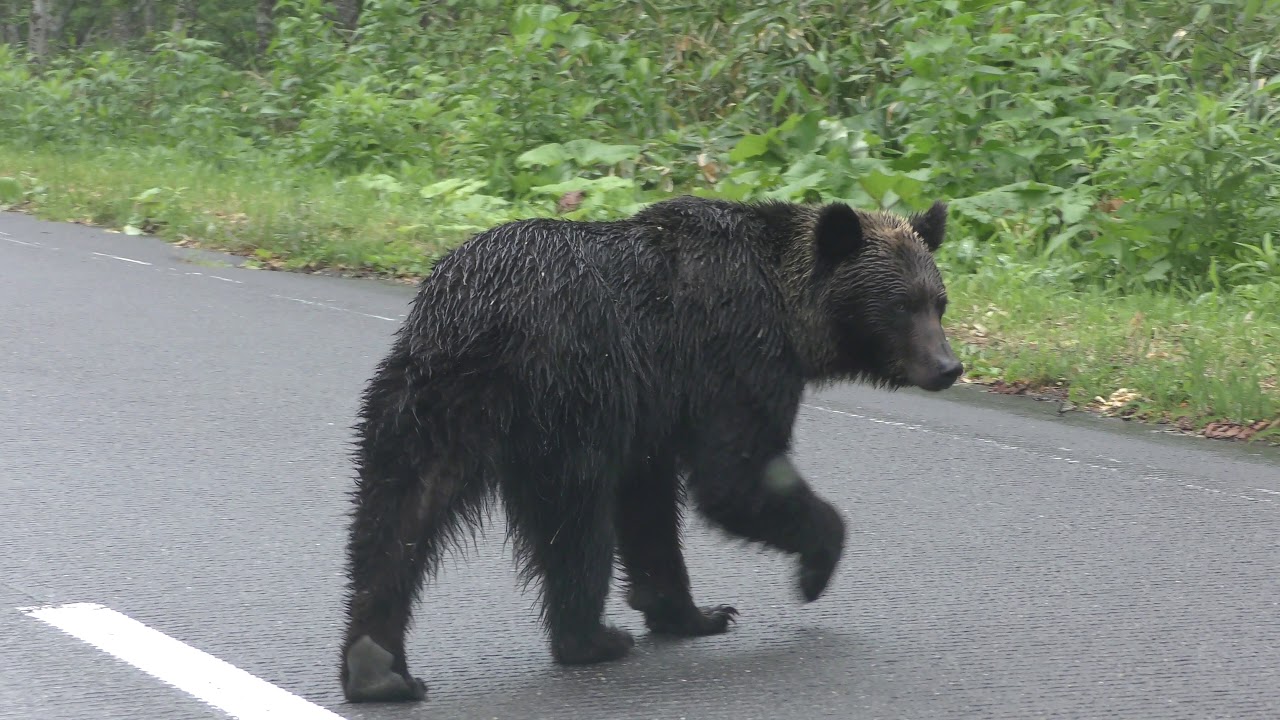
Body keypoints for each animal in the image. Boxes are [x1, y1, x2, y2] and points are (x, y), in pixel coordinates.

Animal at [338, 194, 963, 703]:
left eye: (940, 301)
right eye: (901, 304)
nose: (948, 367)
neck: (789, 309)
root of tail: (482, 315)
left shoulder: (654, 413)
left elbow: (650, 510)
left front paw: (693, 611)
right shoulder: (734, 360)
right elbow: (736, 478)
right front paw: (813, 567)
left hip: (420, 399)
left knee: (394, 514)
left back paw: (377, 667)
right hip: (566, 399)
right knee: (574, 523)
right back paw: (591, 638)